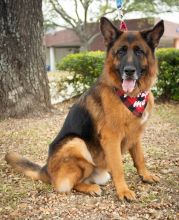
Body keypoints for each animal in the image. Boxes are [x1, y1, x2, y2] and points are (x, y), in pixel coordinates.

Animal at [4, 17, 164, 201]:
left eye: (139, 52)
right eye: (121, 52)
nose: (129, 71)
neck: (133, 97)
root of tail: (46, 169)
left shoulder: (135, 134)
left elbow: (140, 158)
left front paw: (145, 175)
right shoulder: (112, 138)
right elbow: (118, 167)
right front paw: (123, 191)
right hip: (76, 143)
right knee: (65, 185)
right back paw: (90, 188)